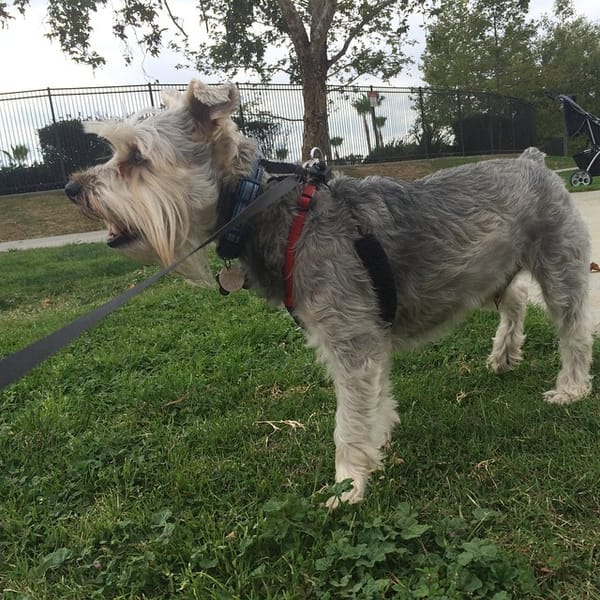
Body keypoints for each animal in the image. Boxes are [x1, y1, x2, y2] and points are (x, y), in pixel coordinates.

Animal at [65, 78, 592, 506]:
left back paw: (569, 388)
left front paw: (347, 484)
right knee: (515, 301)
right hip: (485, 272)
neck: (264, 208)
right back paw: (503, 356)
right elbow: (373, 401)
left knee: (573, 329)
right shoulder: (363, 339)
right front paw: (378, 440)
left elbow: (348, 420)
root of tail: (533, 161)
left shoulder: (350, 339)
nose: (73, 188)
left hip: (558, 266)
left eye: (136, 157)